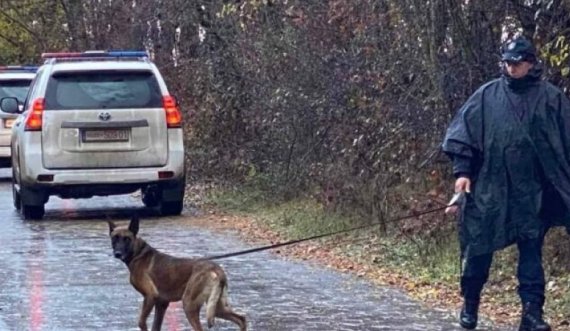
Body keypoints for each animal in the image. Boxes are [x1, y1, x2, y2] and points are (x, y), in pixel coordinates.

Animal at [107, 217, 245, 331]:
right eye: (114, 238)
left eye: (127, 239)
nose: (117, 253)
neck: (138, 253)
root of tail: (216, 269)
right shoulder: (161, 304)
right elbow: (155, 327)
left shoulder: (150, 296)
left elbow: (142, 323)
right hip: (217, 307)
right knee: (241, 319)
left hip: (189, 304)